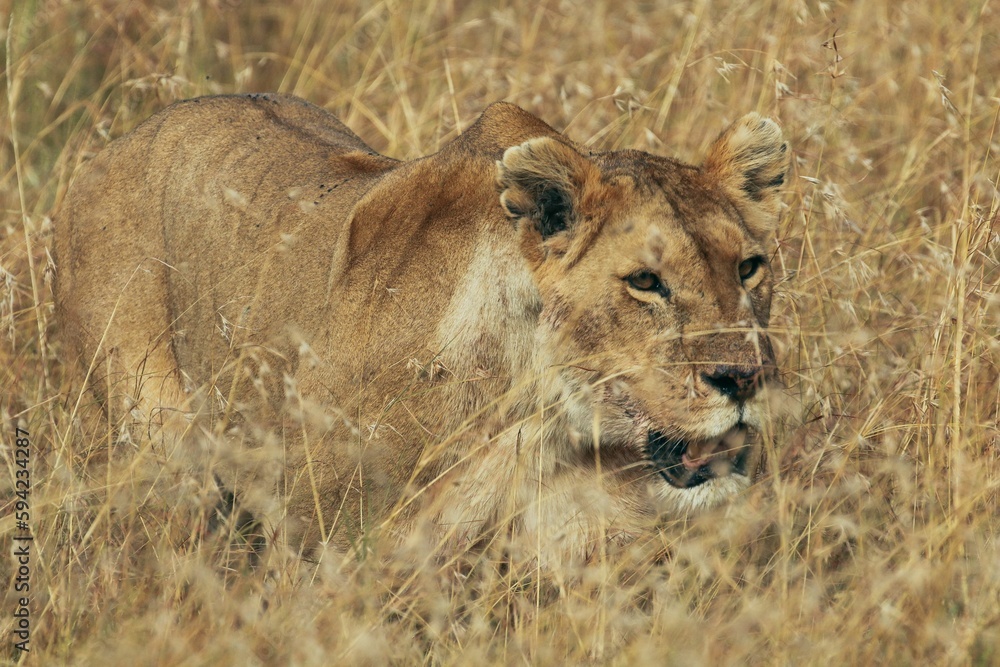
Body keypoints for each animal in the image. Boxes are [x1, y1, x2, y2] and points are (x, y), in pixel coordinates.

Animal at [55, 93, 787, 563]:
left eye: (749, 267)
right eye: (644, 282)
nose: (743, 377)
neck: (541, 413)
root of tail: (117, 143)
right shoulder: (326, 547)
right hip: (160, 450)